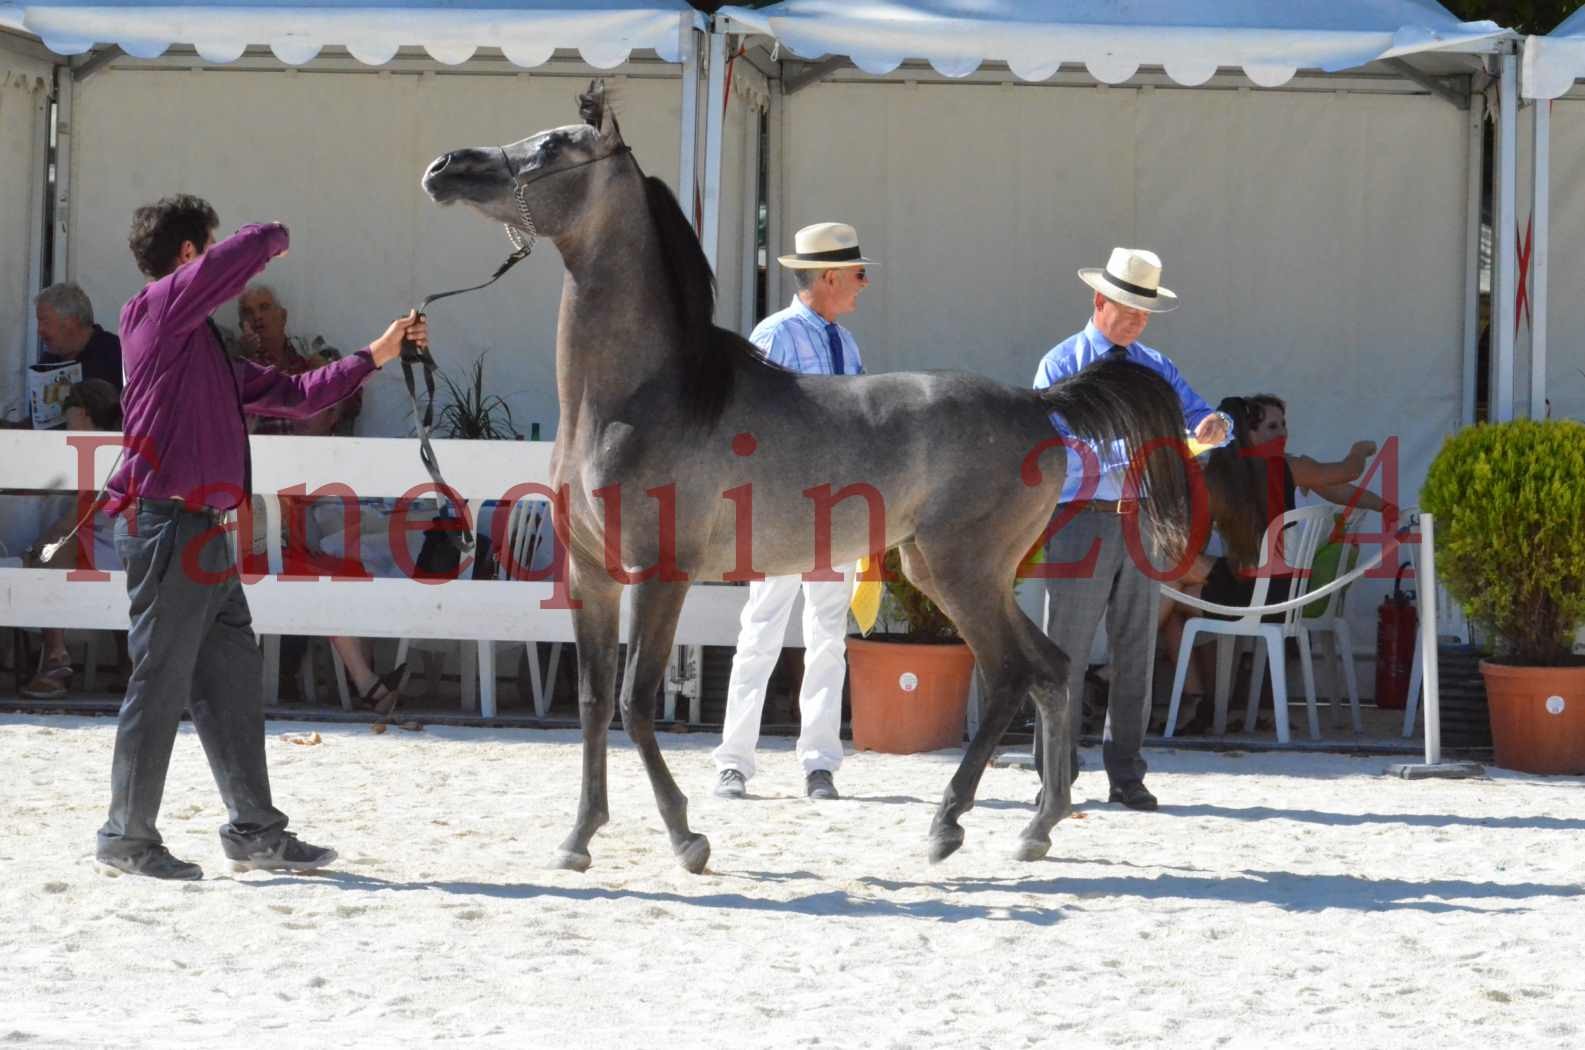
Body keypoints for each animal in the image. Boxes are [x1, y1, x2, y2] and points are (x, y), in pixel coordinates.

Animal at [421, 80, 1191, 869]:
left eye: (552, 146)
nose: (444, 166)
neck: (639, 399)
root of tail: (1039, 403)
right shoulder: (590, 574)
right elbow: (593, 703)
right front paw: (579, 838)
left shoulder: (662, 573)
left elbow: (635, 703)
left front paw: (687, 838)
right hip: (954, 570)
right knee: (1053, 667)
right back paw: (1038, 827)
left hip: (961, 571)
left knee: (1013, 672)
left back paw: (947, 825)